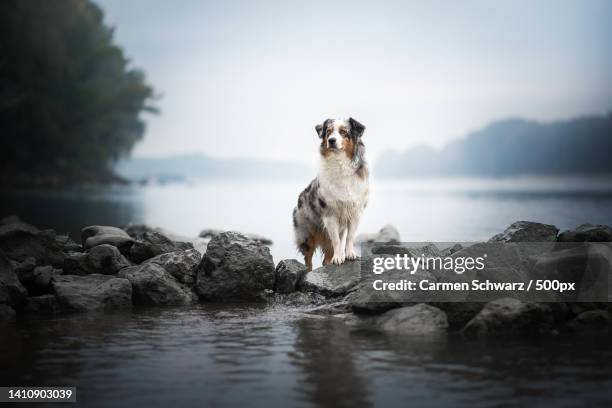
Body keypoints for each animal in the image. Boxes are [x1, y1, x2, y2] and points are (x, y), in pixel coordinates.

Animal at [292, 117, 368, 270]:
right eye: (328, 132)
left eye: (343, 132)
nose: (331, 140)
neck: (340, 164)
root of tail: (299, 198)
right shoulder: (330, 214)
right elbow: (336, 241)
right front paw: (338, 258)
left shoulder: (355, 211)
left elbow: (350, 237)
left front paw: (350, 254)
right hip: (307, 235)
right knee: (308, 260)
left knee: (325, 257)